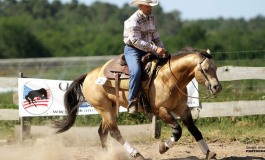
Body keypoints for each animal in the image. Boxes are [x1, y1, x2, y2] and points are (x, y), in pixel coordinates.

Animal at [55, 47, 221, 159]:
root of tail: (88, 75)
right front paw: (163, 147)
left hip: (110, 108)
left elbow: (194, 130)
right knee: (114, 132)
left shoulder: (183, 108)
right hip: (104, 109)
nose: (217, 87)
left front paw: (209, 153)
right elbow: (178, 131)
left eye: (215, 68)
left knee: (102, 132)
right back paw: (136, 153)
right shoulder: (161, 110)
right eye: (205, 69)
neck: (168, 78)